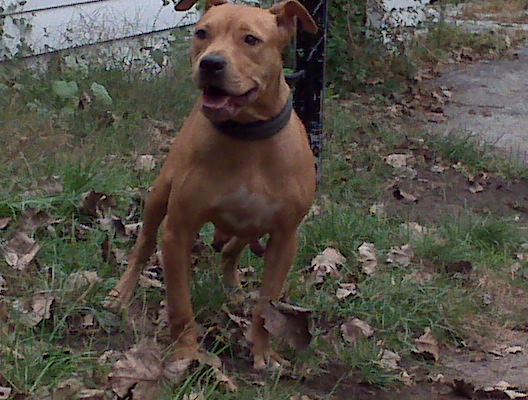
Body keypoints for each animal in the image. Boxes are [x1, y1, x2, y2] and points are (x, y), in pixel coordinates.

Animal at [107, 0, 317, 370]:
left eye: (250, 39)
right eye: (202, 33)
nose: (211, 63)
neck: (247, 138)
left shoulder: (284, 239)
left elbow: (266, 304)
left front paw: (262, 350)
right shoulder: (178, 231)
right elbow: (179, 303)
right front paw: (186, 352)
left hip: (249, 224)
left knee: (233, 249)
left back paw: (233, 287)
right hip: (159, 196)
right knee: (143, 246)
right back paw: (122, 292)